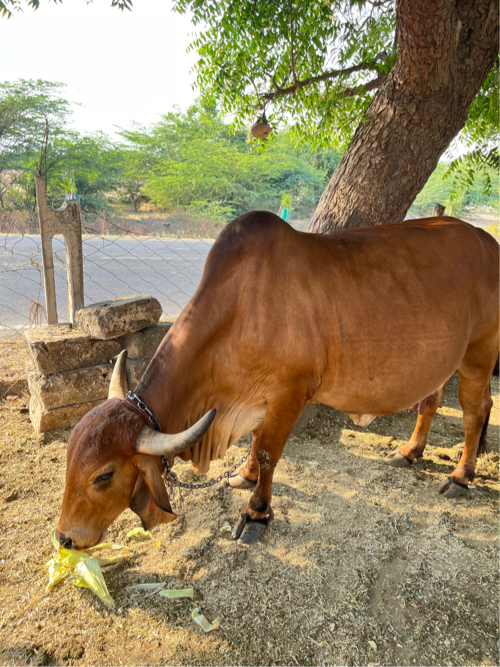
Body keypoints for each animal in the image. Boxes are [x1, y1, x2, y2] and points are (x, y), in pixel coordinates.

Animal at [56, 214, 498, 548]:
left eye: (104, 476)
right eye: (69, 459)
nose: (64, 538)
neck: (237, 310)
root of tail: (485, 238)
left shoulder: (290, 393)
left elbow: (270, 453)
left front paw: (257, 513)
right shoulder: (258, 399)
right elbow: (255, 443)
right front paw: (245, 475)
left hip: (478, 353)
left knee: (477, 411)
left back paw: (461, 476)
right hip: (442, 358)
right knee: (430, 400)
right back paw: (410, 451)